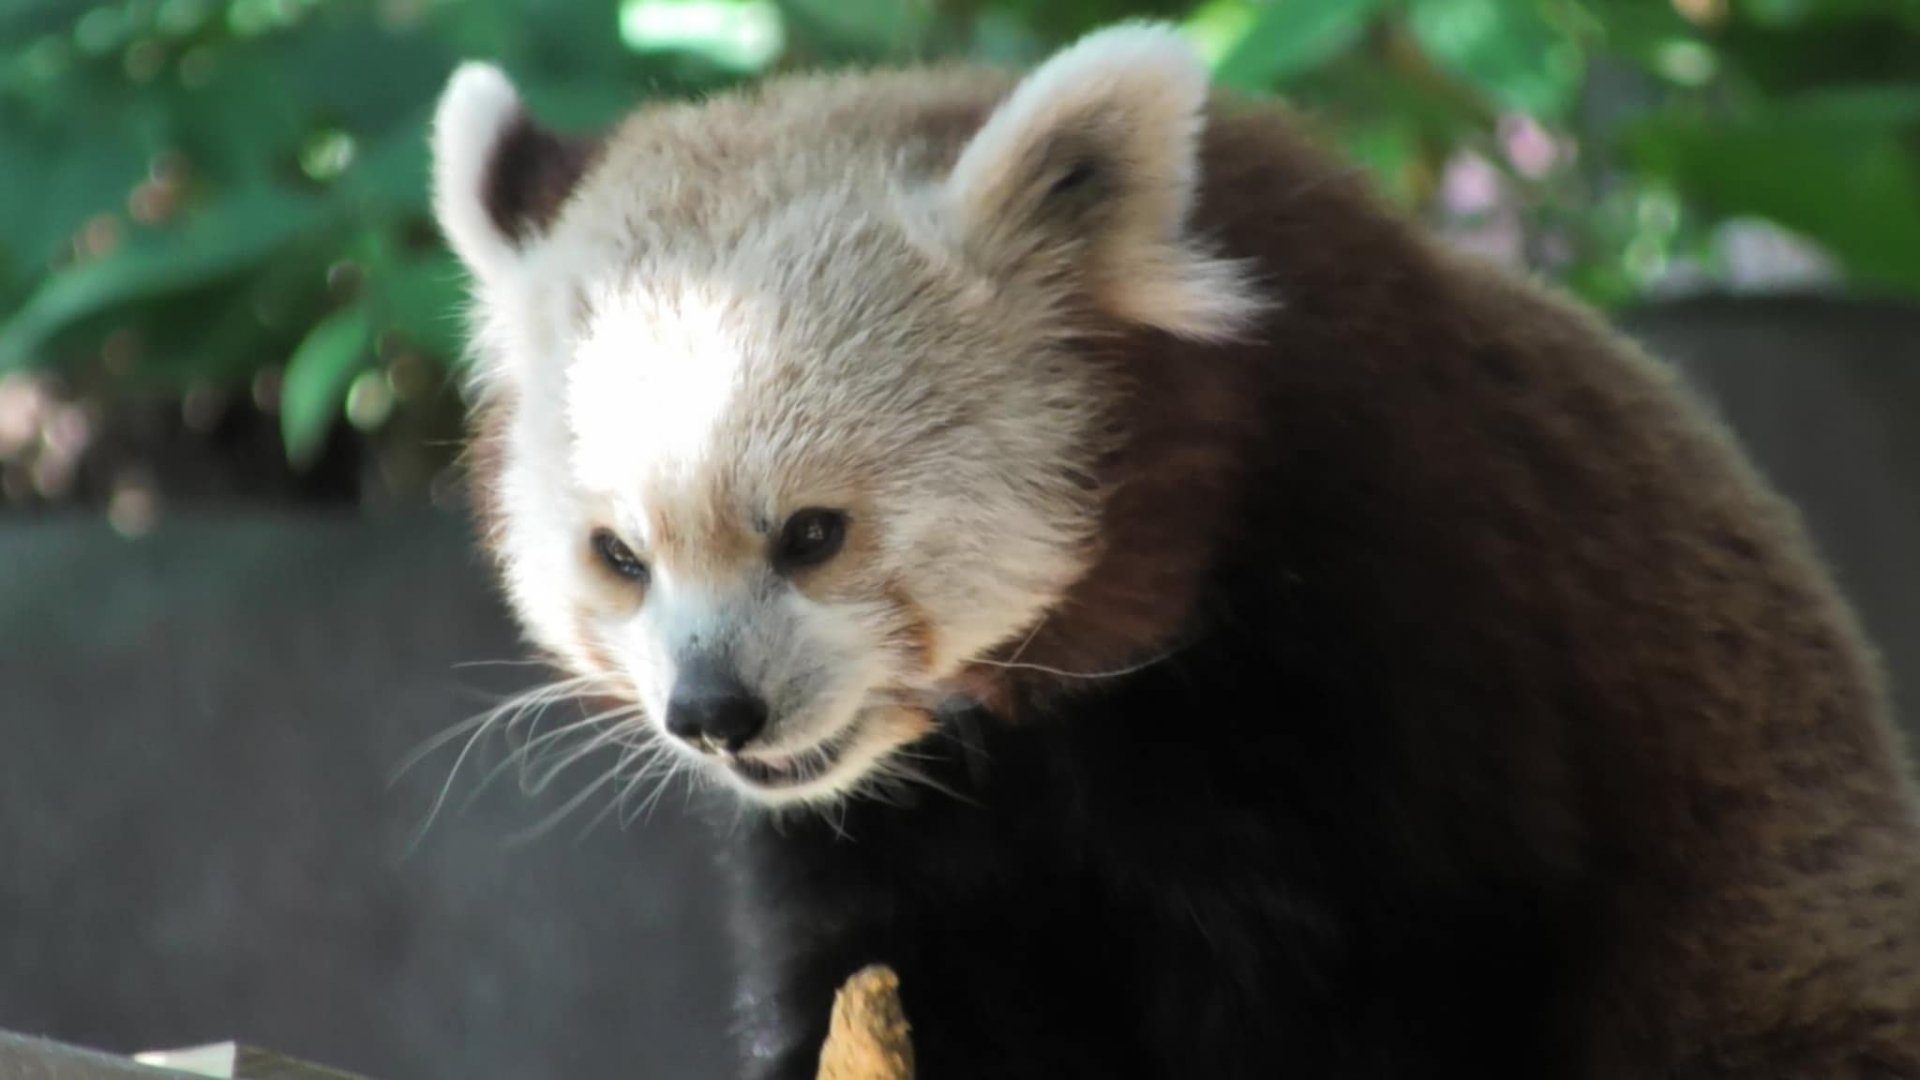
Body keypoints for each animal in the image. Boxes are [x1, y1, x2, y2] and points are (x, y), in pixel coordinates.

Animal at [428, 22, 1920, 1079]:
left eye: (811, 534)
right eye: (621, 557)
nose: (715, 714)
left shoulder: (1394, 624)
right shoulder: (893, 836)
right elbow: (882, 980)